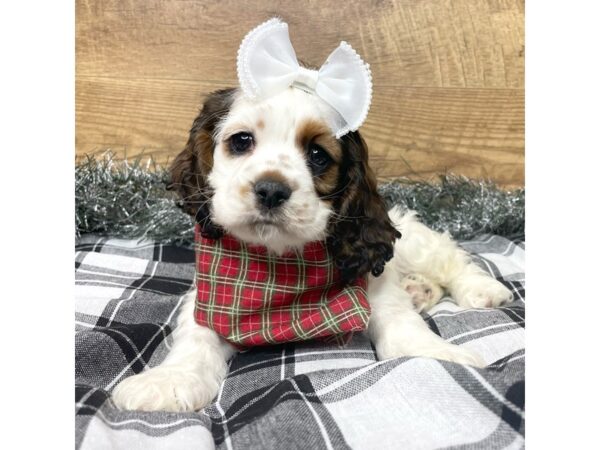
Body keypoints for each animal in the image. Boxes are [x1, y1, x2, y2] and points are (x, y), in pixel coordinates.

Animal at [111, 19, 510, 412]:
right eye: (241, 141)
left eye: (318, 155)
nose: (271, 190)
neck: (283, 266)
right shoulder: (209, 298)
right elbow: (195, 336)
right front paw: (169, 379)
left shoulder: (373, 281)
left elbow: (402, 325)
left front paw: (439, 354)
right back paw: (419, 288)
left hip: (414, 241)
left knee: (450, 260)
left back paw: (481, 289)